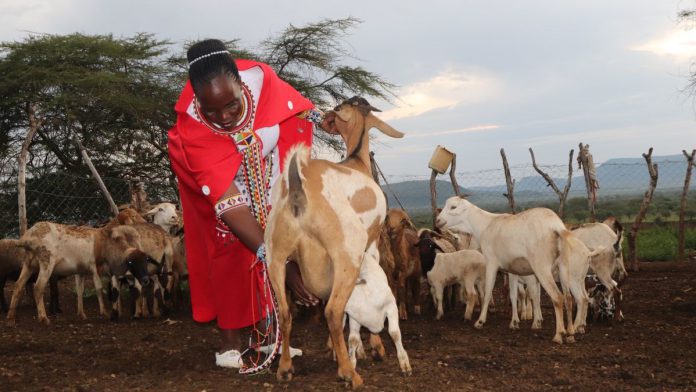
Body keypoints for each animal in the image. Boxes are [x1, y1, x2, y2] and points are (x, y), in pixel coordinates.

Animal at [266, 96, 408, 388]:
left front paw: (335, 348)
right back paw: (349, 373)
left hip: (276, 258)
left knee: (285, 314)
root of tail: (298, 186)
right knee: (332, 311)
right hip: (347, 255)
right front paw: (374, 347)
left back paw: (285, 368)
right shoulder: (371, 247)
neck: (356, 161)